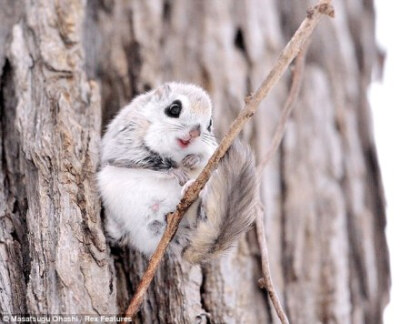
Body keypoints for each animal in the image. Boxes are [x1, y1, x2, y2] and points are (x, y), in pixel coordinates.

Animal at [98, 81, 258, 264]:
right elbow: (147, 159)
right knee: (119, 233)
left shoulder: (211, 150)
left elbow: (205, 158)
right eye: (174, 109)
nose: (195, 132)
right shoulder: (127, 141)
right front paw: (176, 171)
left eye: (210, 124)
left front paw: (193, 159)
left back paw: (190, 190)